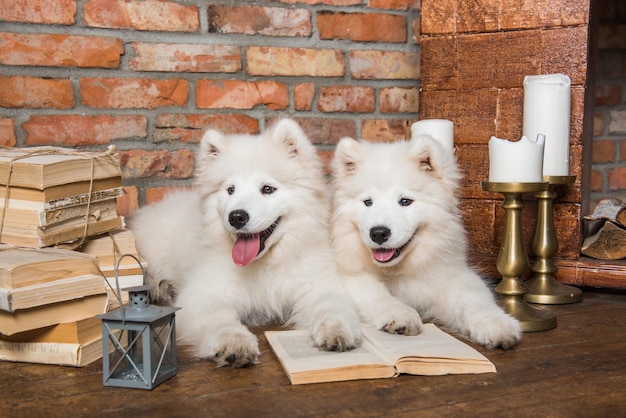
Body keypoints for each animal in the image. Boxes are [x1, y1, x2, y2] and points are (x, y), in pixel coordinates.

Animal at [128, 119, 360, 368]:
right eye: (230, 190)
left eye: (267, 189)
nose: (236, 217)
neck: (265, 263)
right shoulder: (203, 295)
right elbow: (220, 320)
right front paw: (234, 344)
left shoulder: (315, 285)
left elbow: (331, 306)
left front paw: (337, 330)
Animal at [330, 134, 520, 350]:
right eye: (368, 202)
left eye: (405, 201)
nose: (378, 233)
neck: (399, 270)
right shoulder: (351, 275)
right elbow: (377, 294)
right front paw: (400, 315)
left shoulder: (452, 275)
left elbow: (475, 298)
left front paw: (498, 325)